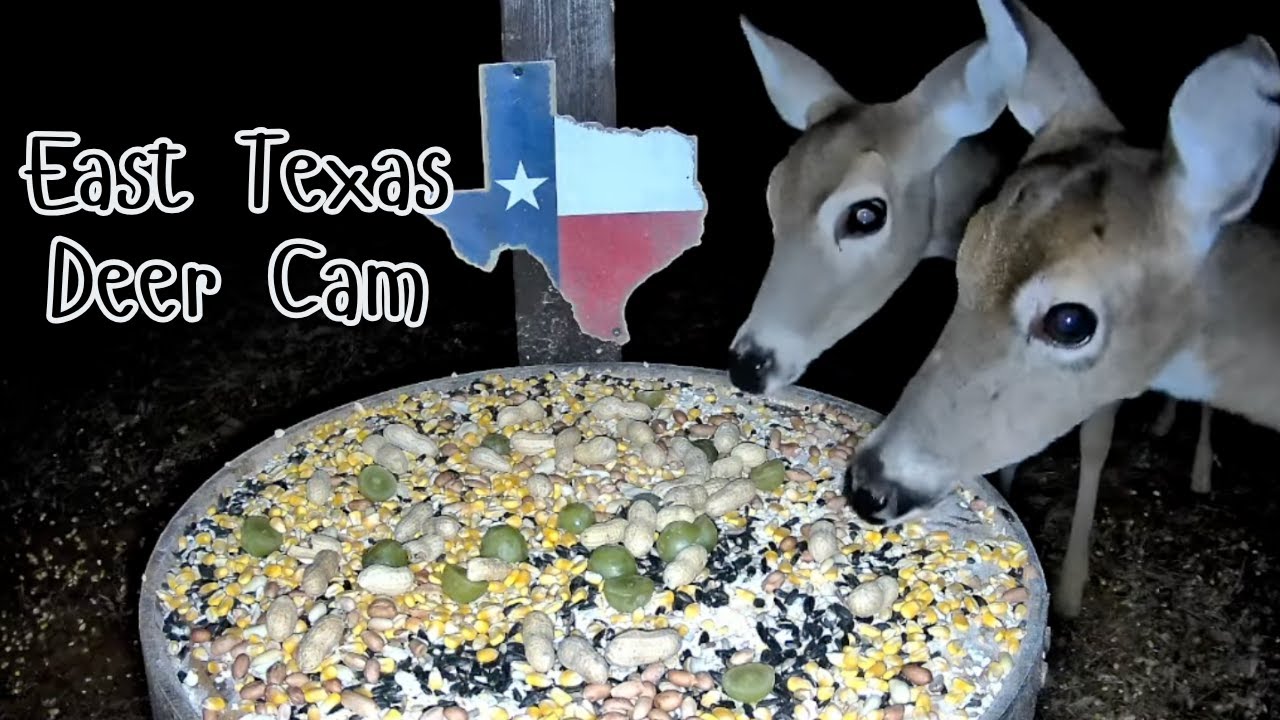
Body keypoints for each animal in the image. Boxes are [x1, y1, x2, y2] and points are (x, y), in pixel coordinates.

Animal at [729, 4, 1222, 618]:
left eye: (865, 214)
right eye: (772, 196)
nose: (749, 364)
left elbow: (1094, 441)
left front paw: (1071, 587)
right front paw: (1006, 487)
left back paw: (1200, 467)